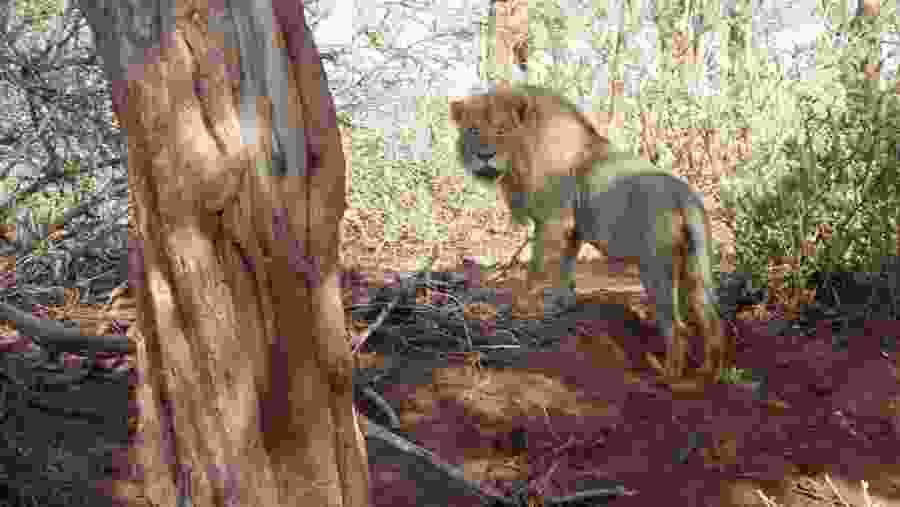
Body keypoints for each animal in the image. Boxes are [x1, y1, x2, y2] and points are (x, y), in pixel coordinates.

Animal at [449, 82, 727, 381]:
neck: (523, 156)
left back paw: (668, 377)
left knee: (677, 328)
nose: (484, 156)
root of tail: (684, 196)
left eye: (501, 129)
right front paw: (563, 301)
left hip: (655, 266)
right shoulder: (573, 227)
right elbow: (566, 265)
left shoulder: (553, 220)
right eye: (473, 131)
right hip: (696, 266)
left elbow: (536, 269)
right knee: (711, 320)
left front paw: (522, 307)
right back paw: (708, 374)